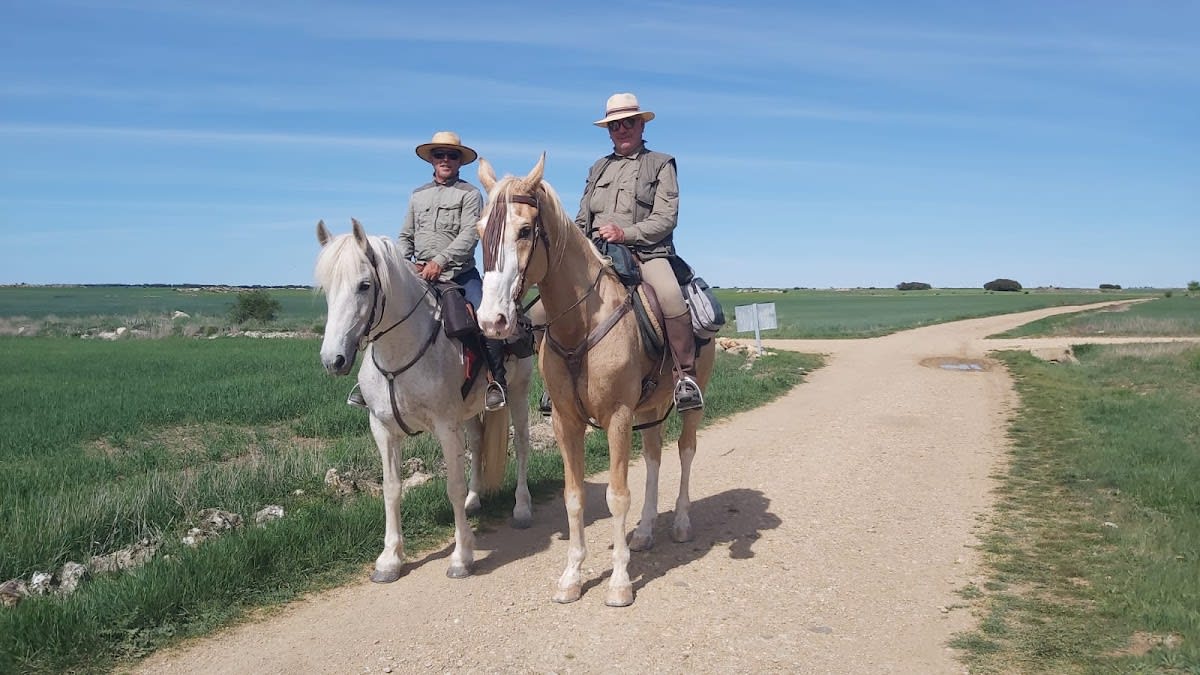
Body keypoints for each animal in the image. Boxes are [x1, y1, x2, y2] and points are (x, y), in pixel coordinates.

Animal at [314, 219, 534, 582]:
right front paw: (390, 559)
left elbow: (453, 487)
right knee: (477, 444)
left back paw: (522, 508)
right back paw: (475, 500)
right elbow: (391, 488)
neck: (400, 352)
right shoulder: (383, 429)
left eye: (364, 285)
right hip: (469, 412)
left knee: (521, 447)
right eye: (325, 288)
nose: (334, 360)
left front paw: (461, 557)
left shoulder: (445, 427)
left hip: (518, 394)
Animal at [473, 155, 716, 606]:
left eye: (525, 230)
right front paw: (571, 577)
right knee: (653, 456)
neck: (581, 325)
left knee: (685, 450)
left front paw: (619, 582)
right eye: (480, 231)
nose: (491, 321)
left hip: (692, 399)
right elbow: (574, 497)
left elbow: (617, 496)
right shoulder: (565, 422)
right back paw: (645, 532)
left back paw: (681, 524)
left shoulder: (618, 418)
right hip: (651, 406)